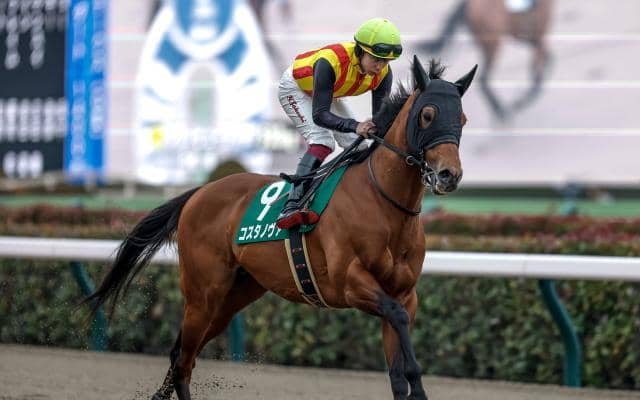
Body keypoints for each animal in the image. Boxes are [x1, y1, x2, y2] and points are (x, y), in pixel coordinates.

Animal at [86, 56, 477, 400]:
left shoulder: (404, 294)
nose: (449, 175)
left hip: (234, 295)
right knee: (183, 359)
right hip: (202, 293)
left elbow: (398, 362)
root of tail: (200, 191)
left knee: (183, 352)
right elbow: (398, 328)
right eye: (428, 114)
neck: (384, 204)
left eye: (462, 117)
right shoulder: (349, 283)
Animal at [418, 0, 553, 119]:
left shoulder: (532, 39)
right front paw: (521, 101)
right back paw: (500, 110)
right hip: (493, 45)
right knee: (484, 78)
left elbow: (548, 62)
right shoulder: (539, 39)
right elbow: (538, 74)